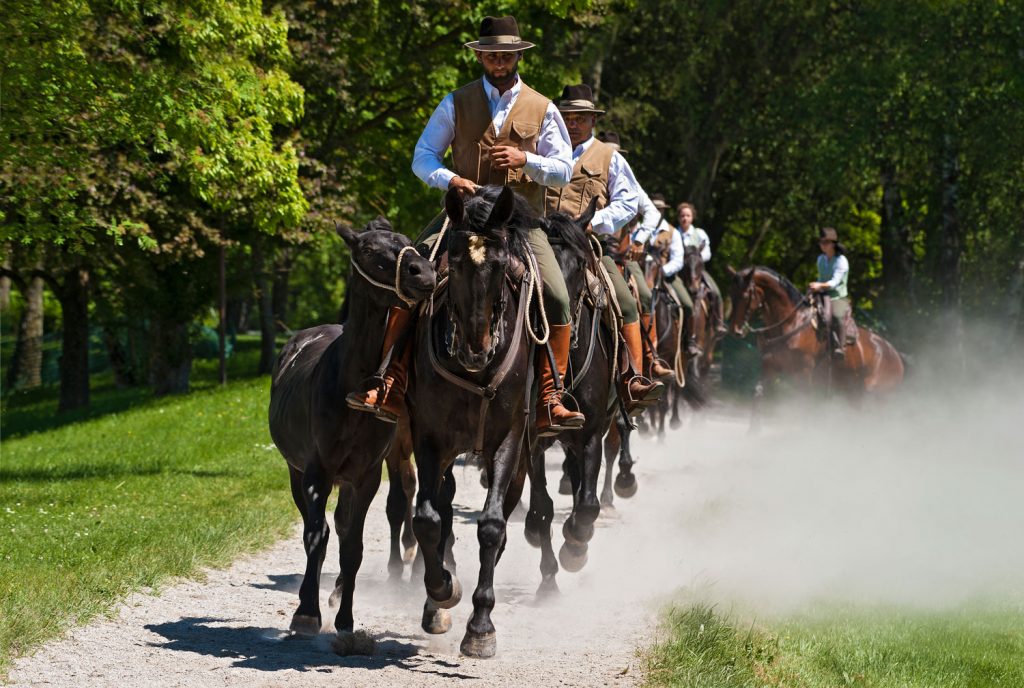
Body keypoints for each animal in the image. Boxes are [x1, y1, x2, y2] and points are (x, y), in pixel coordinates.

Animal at [266, 220, 434, 647]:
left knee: (342, 527)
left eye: (409, 244)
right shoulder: (316, 471)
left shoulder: (365, 474)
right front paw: (307, 613)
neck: (351, 386)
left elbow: (352, 544)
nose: (423, 273)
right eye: (371, 251)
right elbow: (316, 536)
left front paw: (345, 618)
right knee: (318, 528)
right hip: (295, 471)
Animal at [407, 185, 536, 659]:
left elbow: (492, 526)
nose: (476, 349)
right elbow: (427, 519)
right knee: (441, 511)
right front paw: (441, 591)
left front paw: (481, 626)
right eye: (456, 261)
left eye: (501, 265)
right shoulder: (429, 438)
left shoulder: (507, 441)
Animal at [729, 264, 905, 403]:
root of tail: (896, 355)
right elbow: (758, 394)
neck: (791, 323)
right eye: (731, 294)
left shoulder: (803, 374)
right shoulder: (769, 367)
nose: (735, 330)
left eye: (745, 295)